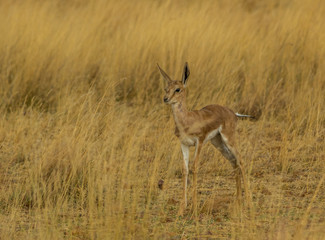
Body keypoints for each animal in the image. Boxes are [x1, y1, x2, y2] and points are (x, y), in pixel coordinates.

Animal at [157, 62, 253, 216]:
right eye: (166, 89)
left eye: (178, 89)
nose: (165, 99)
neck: (187, 121)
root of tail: (233, 113)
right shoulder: (183, 144)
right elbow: (185, 169)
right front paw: (181, 209)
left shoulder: (199, 142)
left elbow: (195, 167)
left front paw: (195, 208)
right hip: (218, 143)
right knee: (233, 162)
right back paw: (238, 201)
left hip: (229, 139)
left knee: (241, 159)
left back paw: (249, 203)